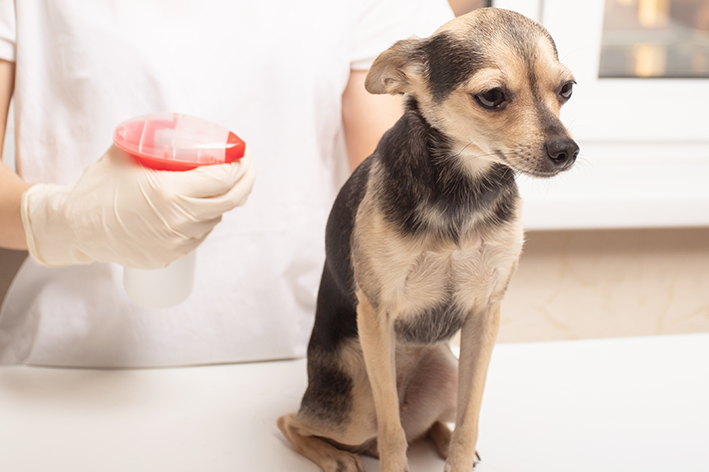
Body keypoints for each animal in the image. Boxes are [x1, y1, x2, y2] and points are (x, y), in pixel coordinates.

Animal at [276, 8, 576, 472]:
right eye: (492, 96)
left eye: (566, 90)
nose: (567, 150)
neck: (460, 191)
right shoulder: (376, 314)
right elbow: (392, 435)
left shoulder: (485, 315)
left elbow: (470, 418)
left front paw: (458, 453)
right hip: (355, 405)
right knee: (297, 423)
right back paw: (334, 457)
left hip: (448, 373)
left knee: (428, 422)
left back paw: (442, 436)